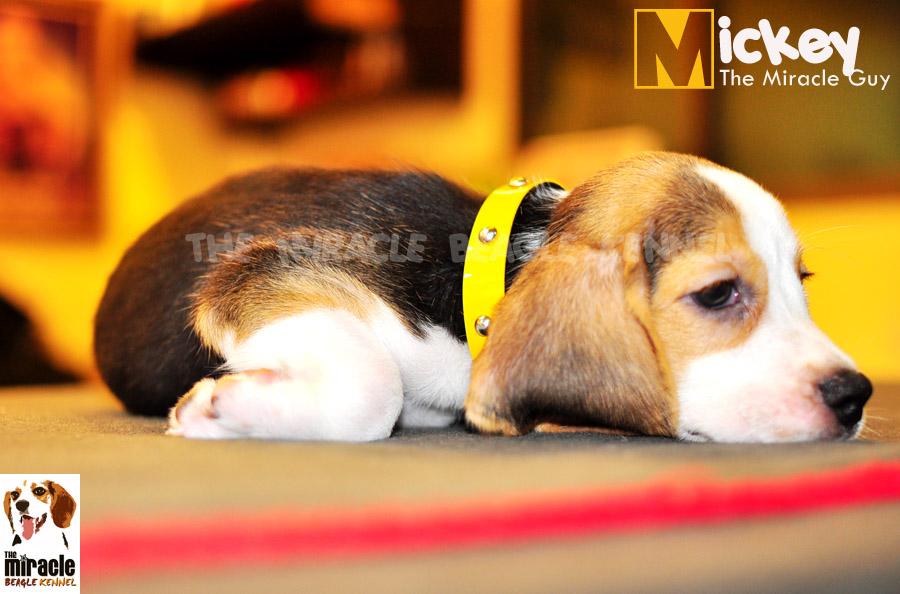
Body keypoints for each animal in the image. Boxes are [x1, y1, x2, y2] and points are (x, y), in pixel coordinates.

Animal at [94, 152, 872, 442]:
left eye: (800, 285)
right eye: (716, 294)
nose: (856, 395)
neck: (482, 284)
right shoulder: (258, 273)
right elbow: (371, 385)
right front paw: (224, 406)